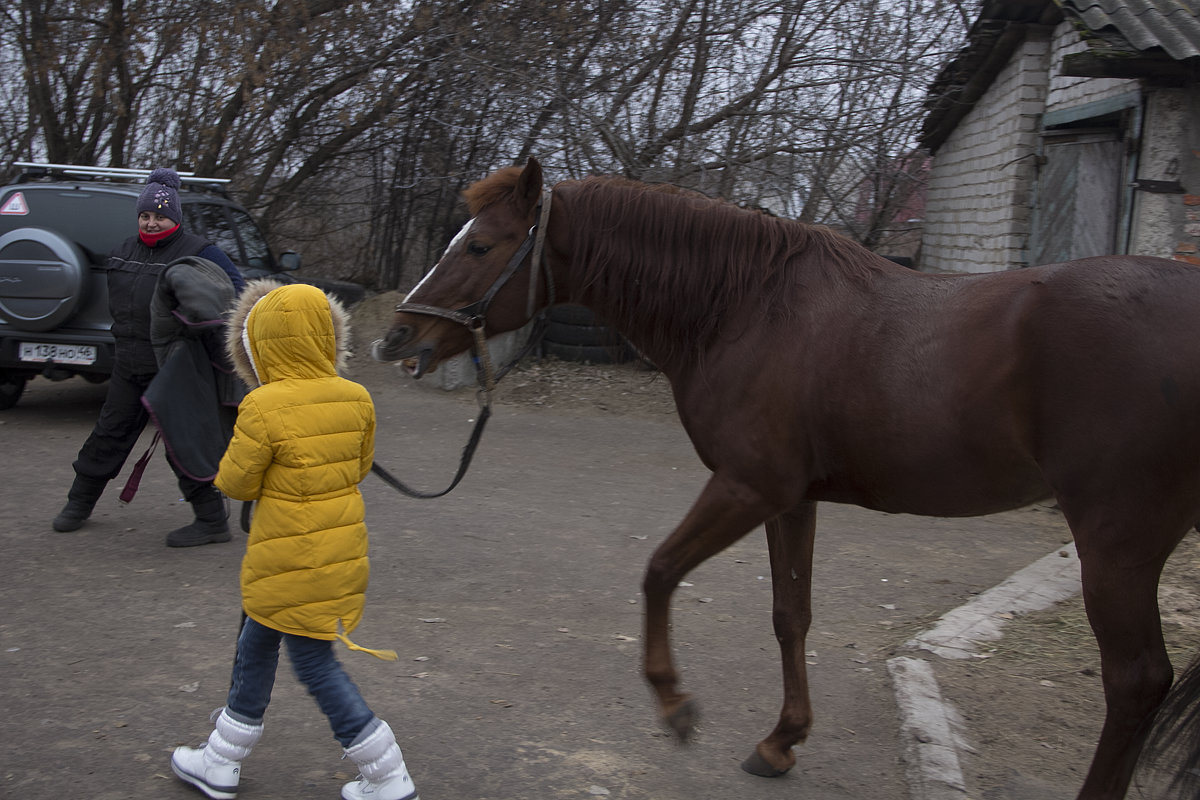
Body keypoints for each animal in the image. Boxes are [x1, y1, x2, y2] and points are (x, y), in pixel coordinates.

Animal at [374, 158, 1200, 800]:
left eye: (481, 244)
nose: (396, 337)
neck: (746, 306)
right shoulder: (791, 501)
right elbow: (789, 615)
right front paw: (781, 741)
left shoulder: (748, 487)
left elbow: (658, 571)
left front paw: (675, 703)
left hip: (1116, 545)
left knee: (1136, 681)